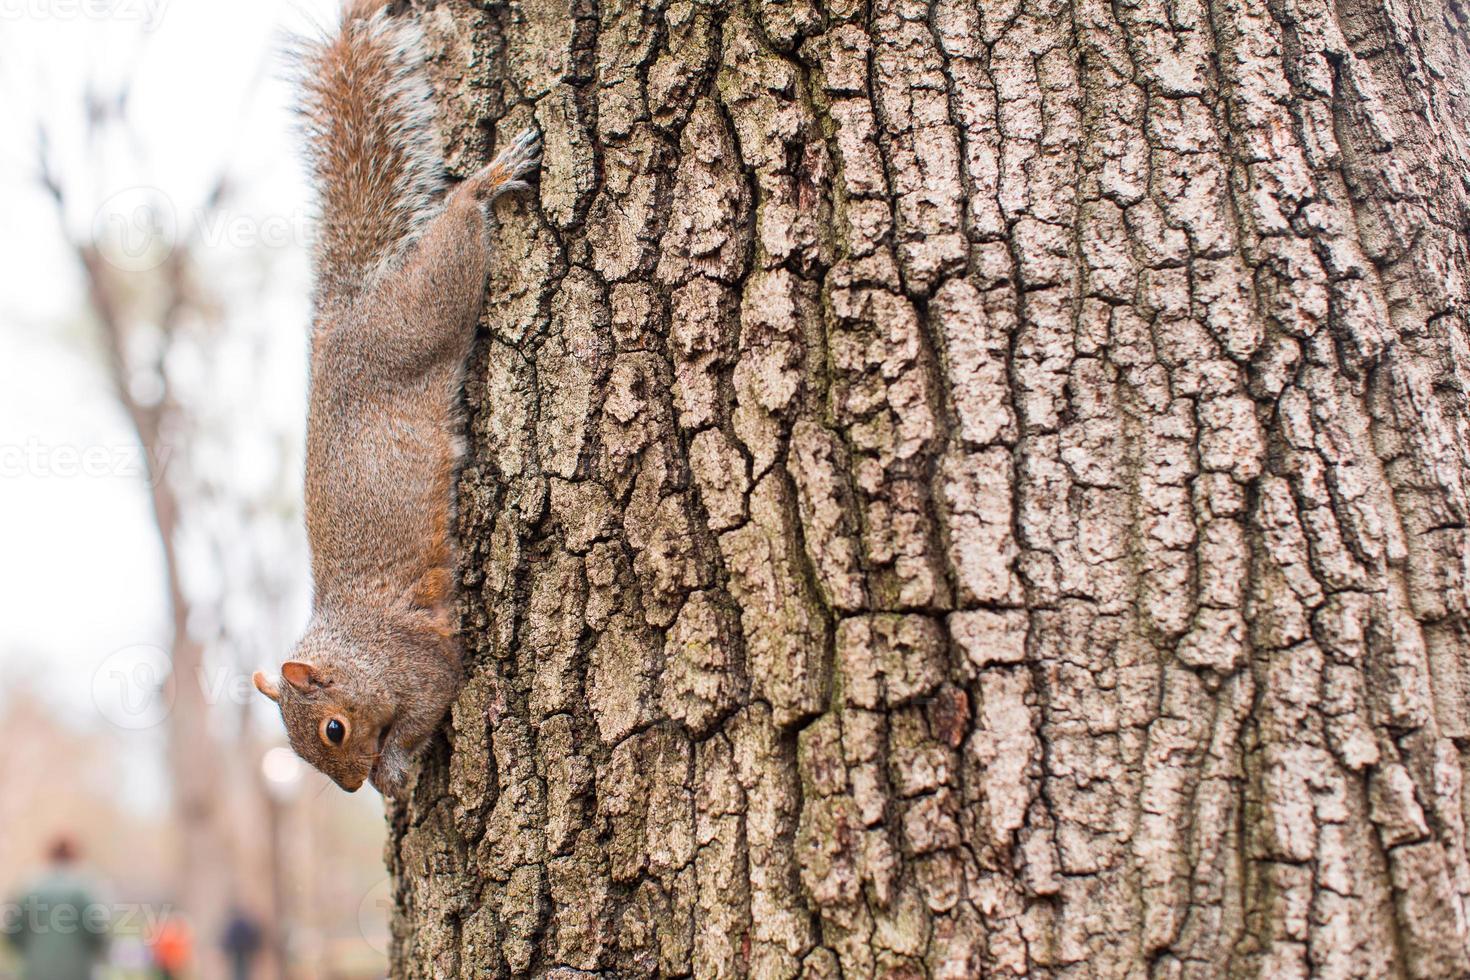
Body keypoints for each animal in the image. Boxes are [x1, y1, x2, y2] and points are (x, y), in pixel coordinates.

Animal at [252, 0, 540, 799]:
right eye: (305, 755)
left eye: (332, 729)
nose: (351, 789)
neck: (359, 649)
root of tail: (348, 310)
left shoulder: (421, 664)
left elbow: (429, 705)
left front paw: (397, 768)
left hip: (424, 312)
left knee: (457, 237)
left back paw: (488, 179)